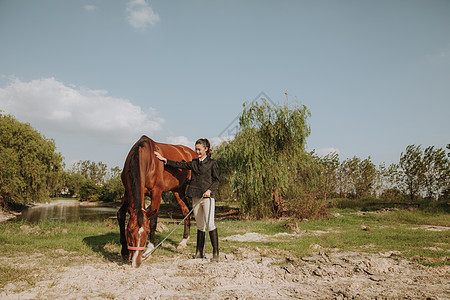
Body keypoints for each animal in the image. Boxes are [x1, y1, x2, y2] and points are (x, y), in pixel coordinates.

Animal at [118, 136, 197, 268]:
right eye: (129, 231)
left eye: (147, 232)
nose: (136, 262)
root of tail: (192, 152)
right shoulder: (127, 192)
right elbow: (120, 215)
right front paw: (124, 252)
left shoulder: (156, 193)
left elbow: (153, 220)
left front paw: (150, 249)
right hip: (178, 191)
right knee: (186, 211)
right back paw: (183, 241)